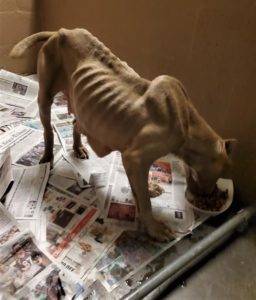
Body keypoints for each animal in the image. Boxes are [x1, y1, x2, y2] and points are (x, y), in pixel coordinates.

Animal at [10, 27, 236, 240]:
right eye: (219, 174)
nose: (212, 196)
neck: (189, 124)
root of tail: (62, 31)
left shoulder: (133, 160)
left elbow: (140, 189)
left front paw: (150, 189)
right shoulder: (135, 158)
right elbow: (143, 200)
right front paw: (154, 228)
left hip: (83, 108)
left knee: (76, 122)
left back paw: (78, 147)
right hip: (45, 95)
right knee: (48, 129)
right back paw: (47, 156)